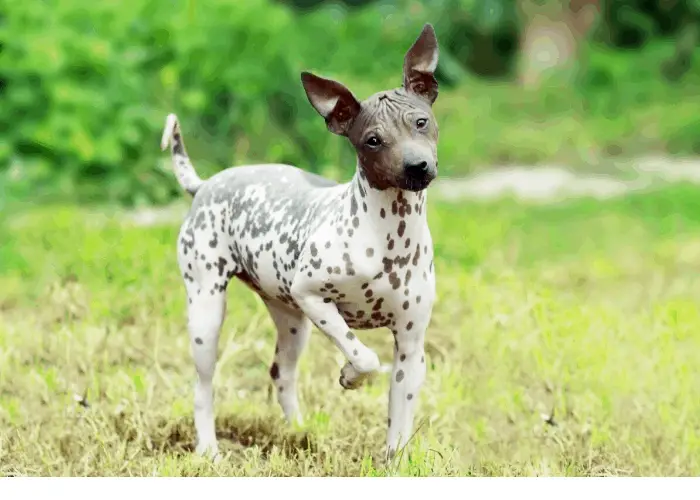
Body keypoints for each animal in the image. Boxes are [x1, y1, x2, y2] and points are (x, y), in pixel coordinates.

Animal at [161, 22, 440, 460]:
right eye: (372, 140)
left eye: (421, 122)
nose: (417, 167)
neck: (389, 237)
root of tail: (204, 184)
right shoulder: (312, 296)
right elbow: (364, 355)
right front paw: (350, 375)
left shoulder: (411, 349)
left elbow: (399, 424)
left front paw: (393, 461)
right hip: (207, 311)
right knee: (203, 386)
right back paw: (208, 449)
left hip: (291, 322)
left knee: (281, 373)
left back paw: (300, 432)